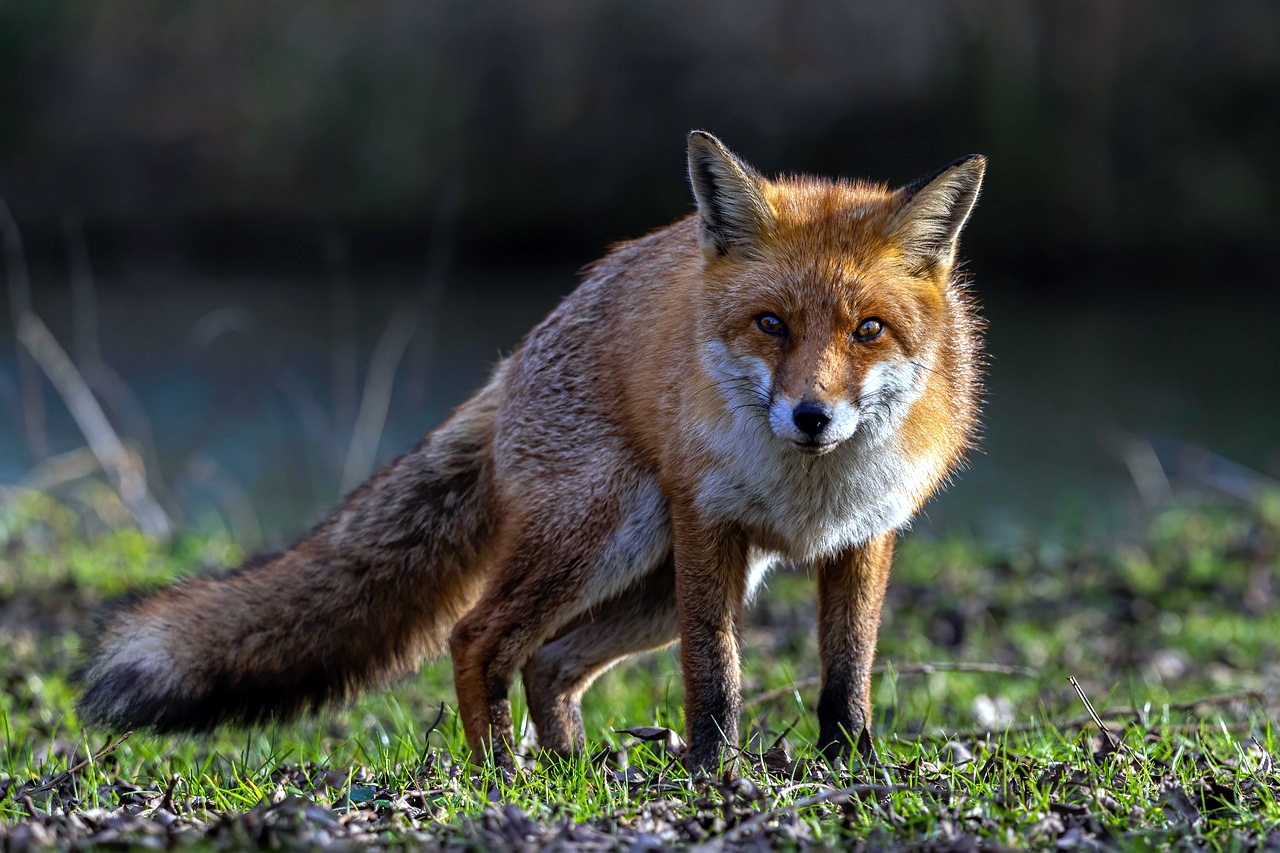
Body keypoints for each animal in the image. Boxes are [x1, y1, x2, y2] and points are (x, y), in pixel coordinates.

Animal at [77, 131, 985, 773]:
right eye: (771, 324)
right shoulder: (709, 523)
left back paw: (573, 766)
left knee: (549, 659)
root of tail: (514, 358)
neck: (809, 490)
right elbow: (714, 672)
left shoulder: (865, 535)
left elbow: (847, 672)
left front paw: (849, 765)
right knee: (479, 637)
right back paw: (501, 772)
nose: (812, 416)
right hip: (610, 537)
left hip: (653, 582)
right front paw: (714, 770)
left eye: (868, 330)